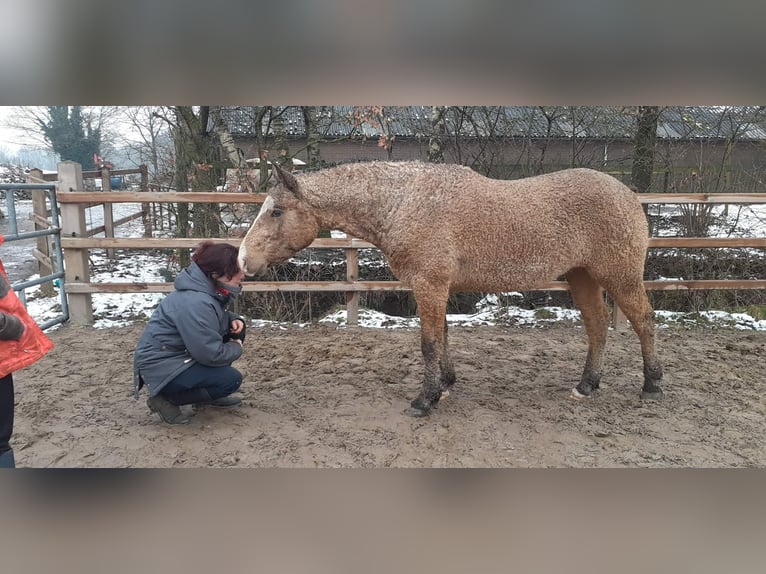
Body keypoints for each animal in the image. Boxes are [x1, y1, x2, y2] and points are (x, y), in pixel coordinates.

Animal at [238, 161, 664, 417]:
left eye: (276, 211)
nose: (244, 260)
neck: (404, 202)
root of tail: (628, 195)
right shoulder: (437, 286)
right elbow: (442, 336)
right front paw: (444, 385)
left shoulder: (429, 284)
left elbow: (428, 342)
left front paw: (424, 400)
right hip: (582, 276)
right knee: (596, 326)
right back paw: (586, 385)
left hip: (620, 276)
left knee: (644, 321)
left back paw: (651, 385)